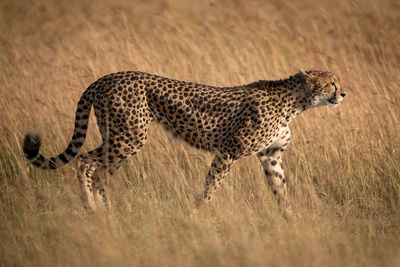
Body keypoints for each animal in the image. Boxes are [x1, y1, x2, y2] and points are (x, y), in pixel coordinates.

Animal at [23, 70, 346, 213]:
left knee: (100, 172)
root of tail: (107, 77)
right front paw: (200, 213)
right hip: (129, 138)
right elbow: (211, 186)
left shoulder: (271, 156)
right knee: (85, 162)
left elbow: (281, 191)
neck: (295, 103)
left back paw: (105, 210)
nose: (343, 93)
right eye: (331, 82)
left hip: (119, 139)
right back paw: (91, 207)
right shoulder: (228, 151)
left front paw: (290, 221)